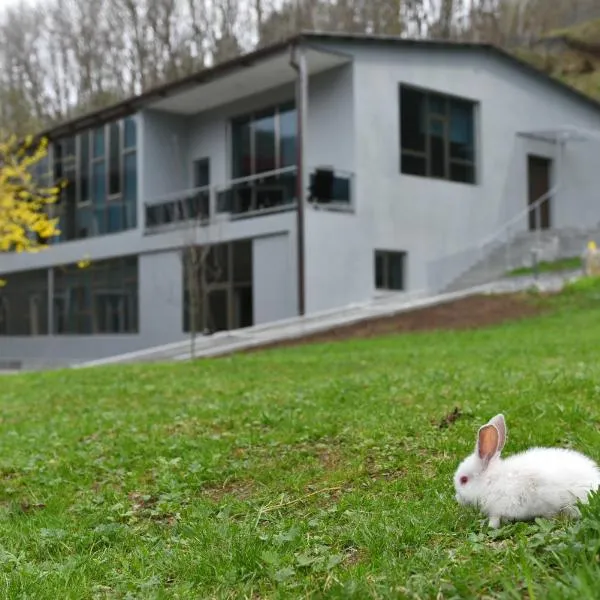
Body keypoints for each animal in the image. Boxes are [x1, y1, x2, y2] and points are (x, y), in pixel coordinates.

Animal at [454, 414, 600, 528]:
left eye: (463, 480)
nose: (457, 498)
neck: (489, 482)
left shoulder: (500, 507)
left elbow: (495, 519)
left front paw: (490, 526)